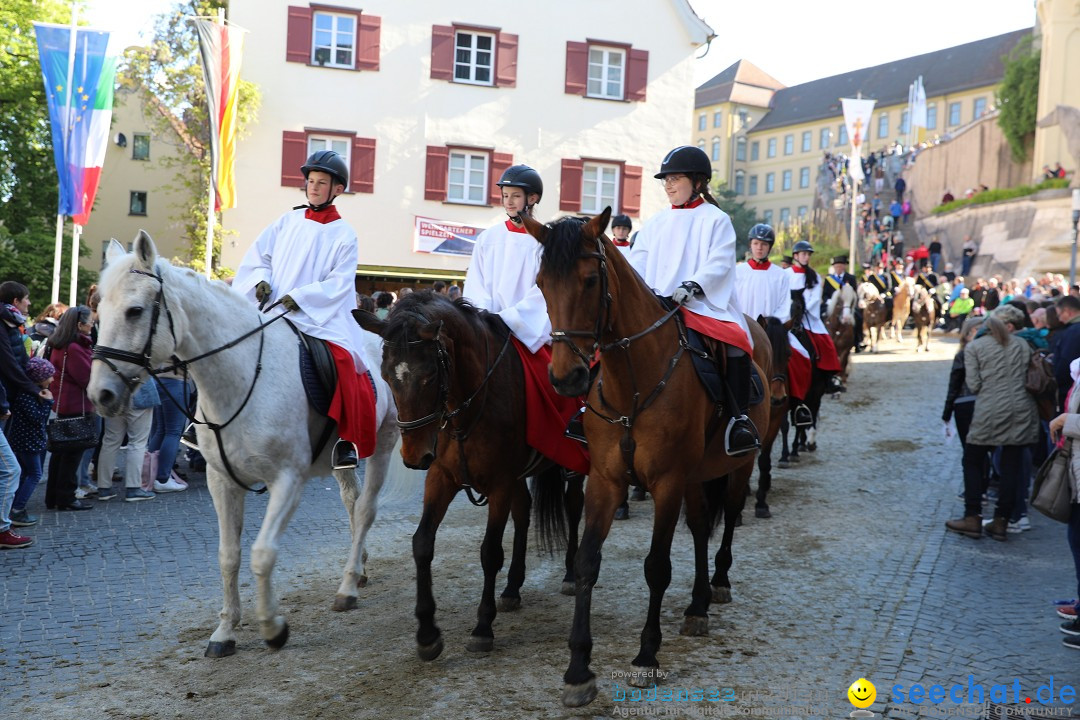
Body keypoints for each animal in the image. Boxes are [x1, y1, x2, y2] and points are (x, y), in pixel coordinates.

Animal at [87, 232, 401, 660]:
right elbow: (228, 556)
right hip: (342, 458)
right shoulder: (222, 481)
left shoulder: (288, 480)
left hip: (382, 443)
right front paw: (225, 631)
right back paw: (361, 566)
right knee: (352, 504)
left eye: (135, 311)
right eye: (99, 312)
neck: (239, 377)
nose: (100, 394)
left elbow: (261, 553)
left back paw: (348, 586)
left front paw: (273, 627)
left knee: (366, 509)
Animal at [354, 291, 583, 660]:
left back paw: (571, 574)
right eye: (386, 376)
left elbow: (490, 552)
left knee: (574, 507)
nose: (413, 456)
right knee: (524, 513)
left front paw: (482, 627)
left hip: (572, 463)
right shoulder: (441, 477)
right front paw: (427, 632)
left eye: (429, 375)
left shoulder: (500, 482)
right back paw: (512, 587)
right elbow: (422, 543)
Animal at [520, 208, 768, 708]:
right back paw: (696, 606)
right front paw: (578, 669)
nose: (567, 378)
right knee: (700, 527)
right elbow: (587, 562)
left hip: (737, 465)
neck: (633, 382)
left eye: (590, 280)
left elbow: (657, 567)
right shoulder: (606, 480)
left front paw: (646, 656)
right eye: (540, 282)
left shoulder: (666, 483)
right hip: (695, 476)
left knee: (728, 517)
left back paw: (718, 585)